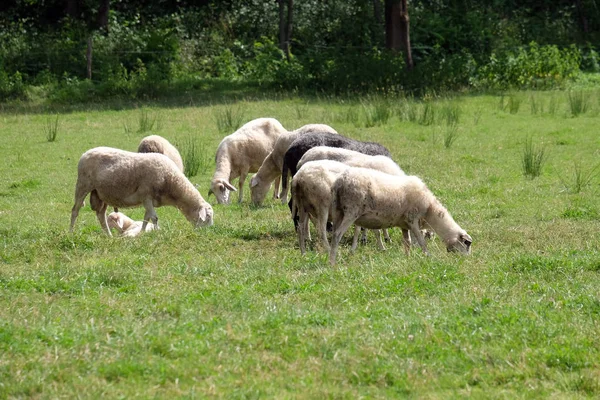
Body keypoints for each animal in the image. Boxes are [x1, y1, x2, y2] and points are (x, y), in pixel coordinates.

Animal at [70, 146, 213, 234]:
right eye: (208, 217)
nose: (209, 233)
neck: (171, 182)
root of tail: (85, 153)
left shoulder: (148, 200)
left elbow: (146, 218)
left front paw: (142, 233)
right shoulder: (146, 196)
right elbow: (154, 218)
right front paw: (156, 233)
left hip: (102, 194)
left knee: (101, 215)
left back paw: (109, 236)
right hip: (83, 185)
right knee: (75, 210)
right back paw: (71, 232)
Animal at [328, 166, 474, 266]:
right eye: (467, 243)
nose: (466, 260)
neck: (430, 210)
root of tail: (340, 181)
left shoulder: (405, 224)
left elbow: (407, 242)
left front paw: (408, 257)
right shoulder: (413, 220)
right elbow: (421, 241)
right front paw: (428, 257)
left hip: (338, 212)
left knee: (334, 232)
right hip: (351, 211)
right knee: (337, 235)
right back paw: (333, 262)